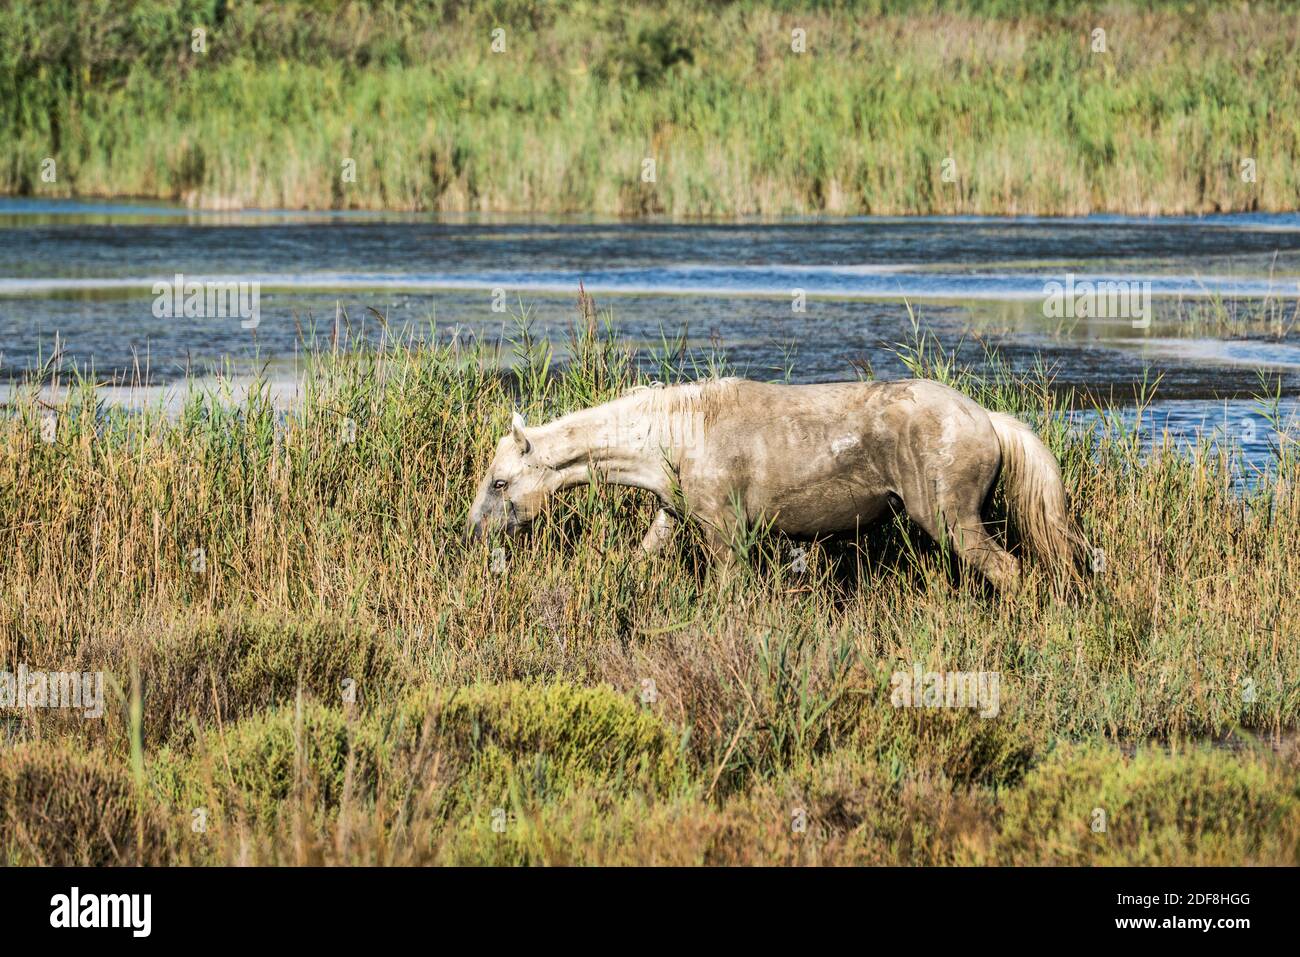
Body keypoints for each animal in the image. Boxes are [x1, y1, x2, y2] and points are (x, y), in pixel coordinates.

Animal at [466, 377, 1088, 592]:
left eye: (499, 483)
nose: (470, 533)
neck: (676, 432)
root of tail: (987, 418)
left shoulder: (723, 531)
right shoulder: (673, 516)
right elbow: (638, 560)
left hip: (951, 518)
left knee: (1009, 570)